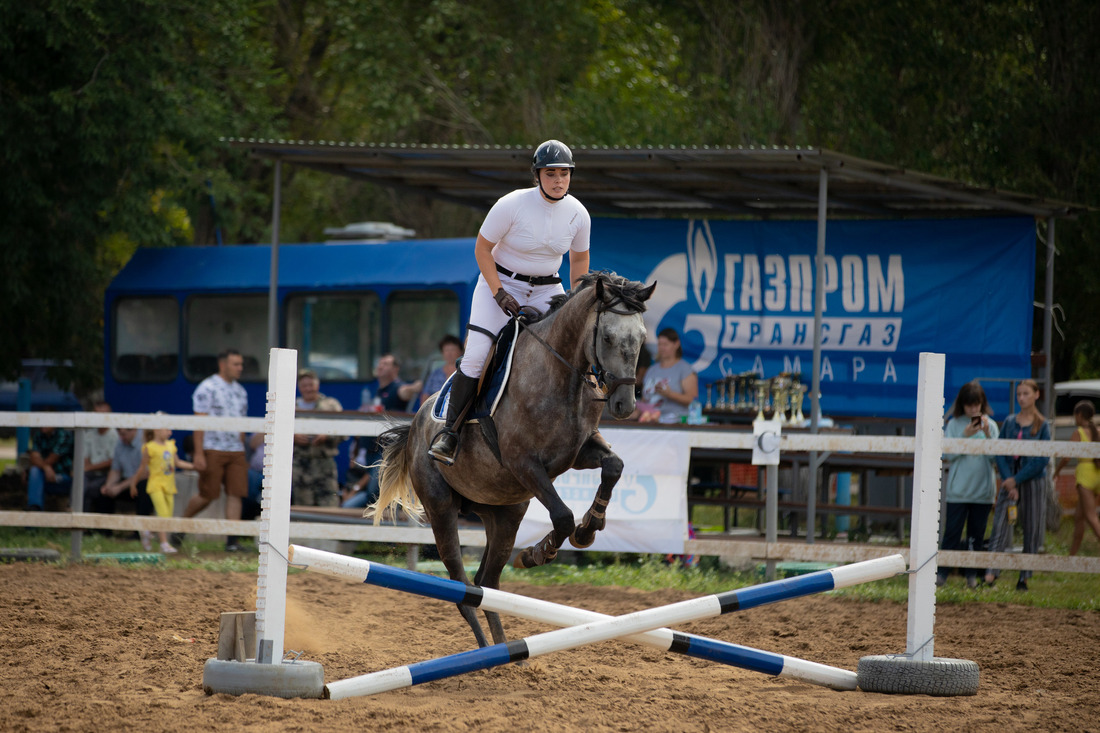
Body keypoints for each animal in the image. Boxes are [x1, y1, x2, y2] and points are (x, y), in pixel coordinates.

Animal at [365, 269, 655, 647]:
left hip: (504, 513)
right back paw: (485, 651)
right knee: (464, 589)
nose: (625, 405)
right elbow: (562, 516)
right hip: (442, 509)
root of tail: (415, 426)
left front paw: (590, 527)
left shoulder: (578, 453)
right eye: (606, 337)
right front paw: (539, 552)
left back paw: (506, 650)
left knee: (486, 583)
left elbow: (614, 467)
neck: (562, 377)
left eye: (642, 337)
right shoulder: (524, 464)